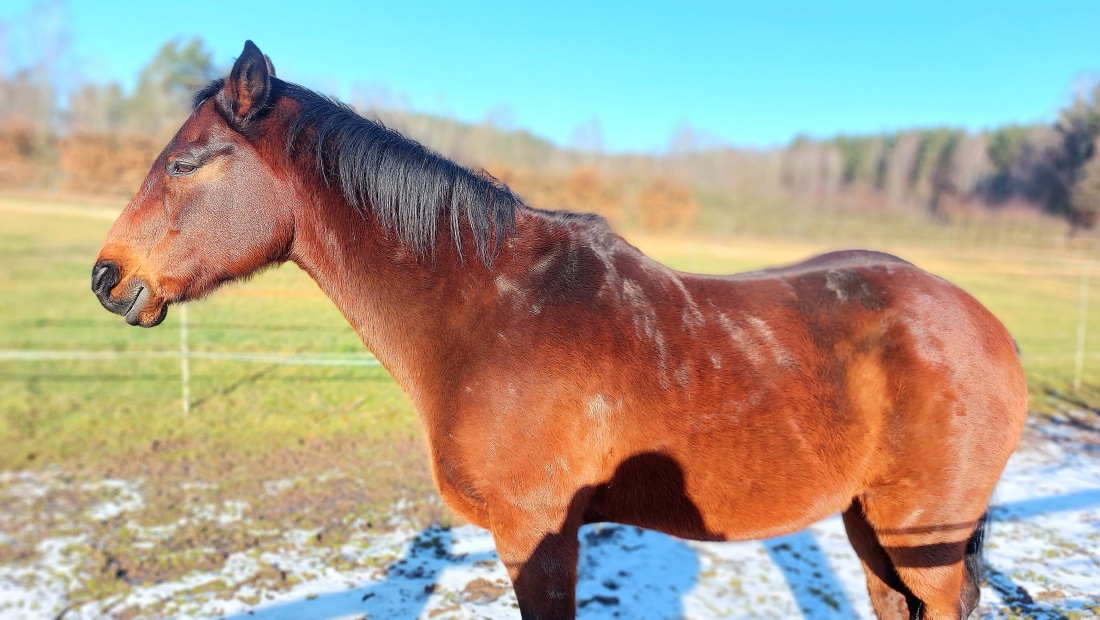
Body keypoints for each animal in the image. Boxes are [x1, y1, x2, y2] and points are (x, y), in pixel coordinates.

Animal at [94, 41, 1029, 615]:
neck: (491, 310)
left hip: (923, 537)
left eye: (186, 163)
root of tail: (986, 324)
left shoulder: (536, 536)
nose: (108, 278)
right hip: (871, 525)